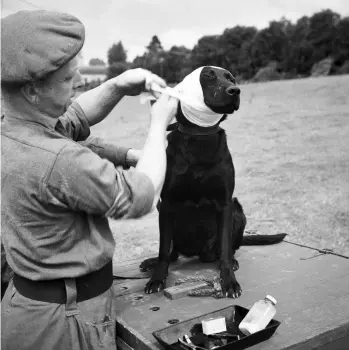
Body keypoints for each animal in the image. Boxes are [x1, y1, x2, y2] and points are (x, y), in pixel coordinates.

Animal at [140, 66, 284, 298]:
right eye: (207, 76)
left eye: (231, 78)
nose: (235, 90)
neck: (200, 136)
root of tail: (197, 253)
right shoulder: (167, 202)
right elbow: (163, 251)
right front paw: (157, 279)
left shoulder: (225, 202)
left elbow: (225, 249)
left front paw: (229, 282)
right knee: (172, 253)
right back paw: (152, 262)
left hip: (237, 209)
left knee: (227, 250)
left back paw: (232, 261)